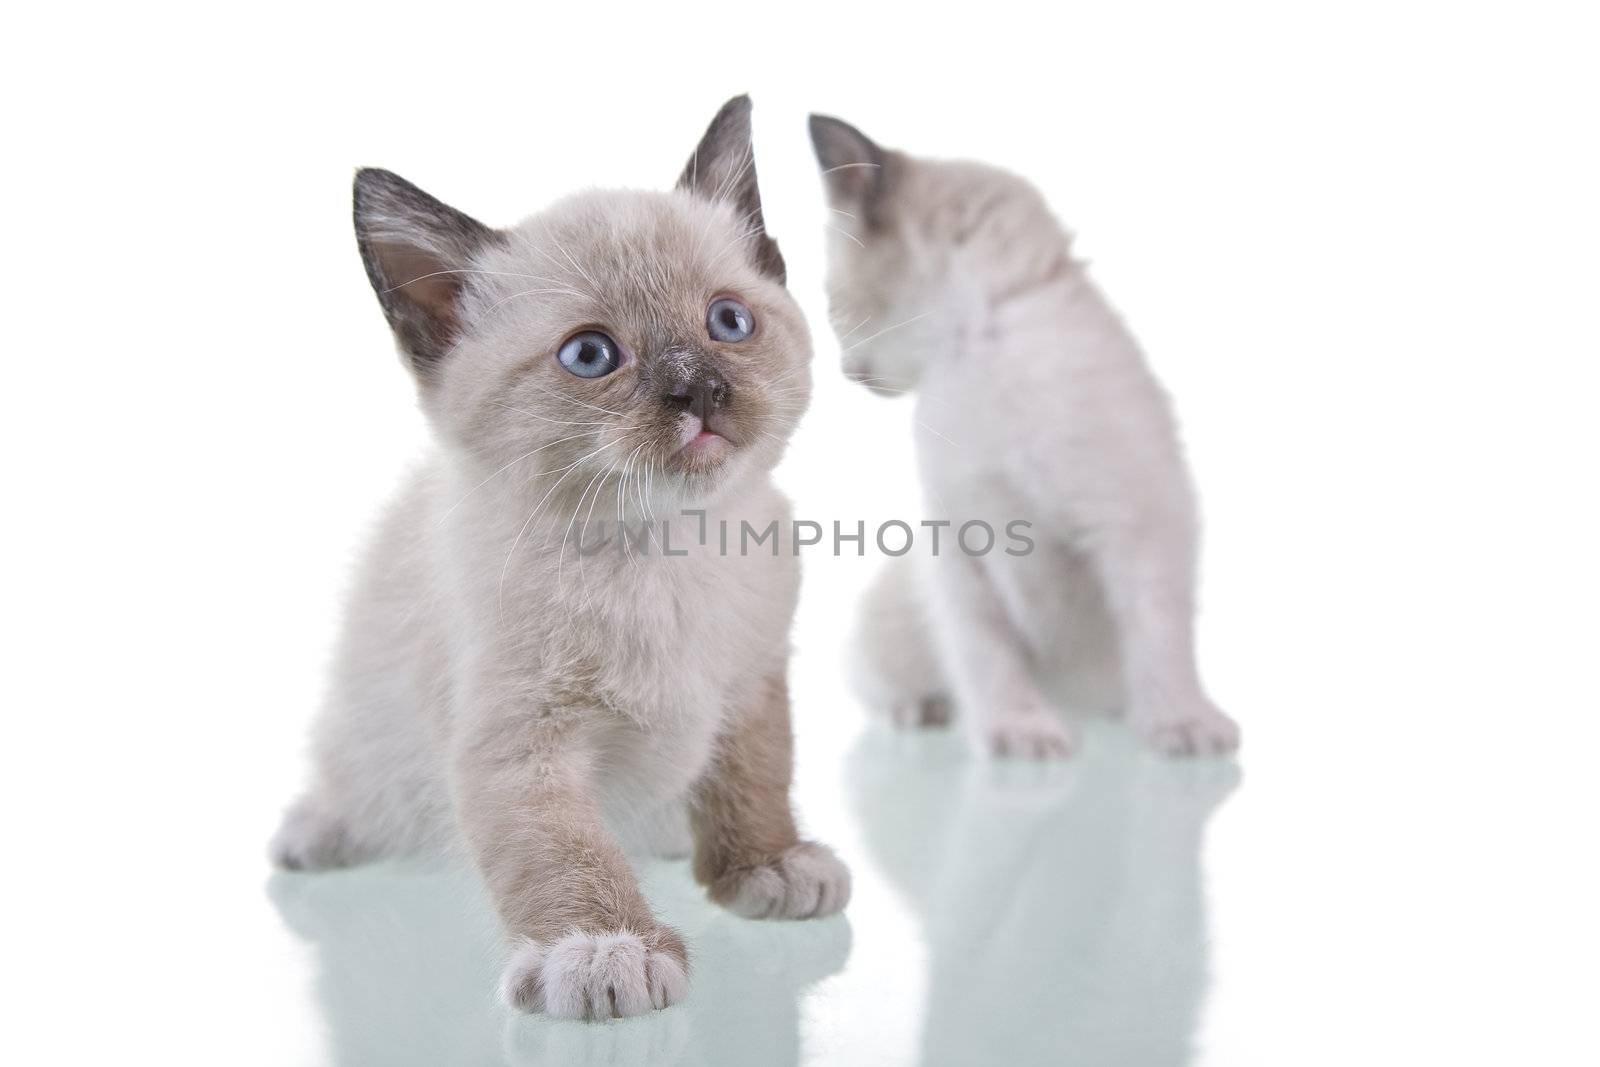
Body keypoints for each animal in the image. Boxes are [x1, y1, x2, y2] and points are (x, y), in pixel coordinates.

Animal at [272, 97, 851, 1017]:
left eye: (728, 321)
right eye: (590, 355)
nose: (699, 389)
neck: (662, 555)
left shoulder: (753, 681)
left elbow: (757, 777)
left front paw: (766, 863)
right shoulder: (518, 739)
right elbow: (560, 847)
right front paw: (602, 946)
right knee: (352, 777)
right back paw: (317, 831)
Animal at [812, 112, 1235, 755]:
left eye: (832, 304)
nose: (842, 369)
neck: (973, 349)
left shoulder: (1137, 526)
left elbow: (1157, 636)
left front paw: (1180, 723)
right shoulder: (960, 542)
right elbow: (986, 651)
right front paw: (1019, 730)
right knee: (881, 682)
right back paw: (925, 710)